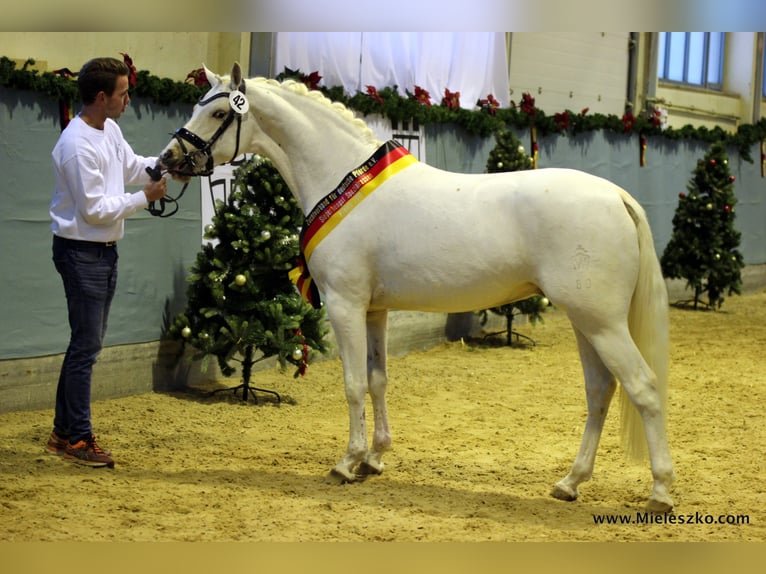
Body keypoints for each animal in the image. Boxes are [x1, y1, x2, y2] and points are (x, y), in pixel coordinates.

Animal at [158, 63, 674, 512]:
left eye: (219, 113)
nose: (169, 160)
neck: (341, 177)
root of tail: (617, 196)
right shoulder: (375, 310)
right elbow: (378, 379)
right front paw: (375, 458)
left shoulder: (345, 304)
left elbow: (352, 384)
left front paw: (346, 463)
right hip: (587, 322)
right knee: (600, 391)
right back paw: (570, 483)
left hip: (601, 323)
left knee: (643, 388)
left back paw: (660, 492)